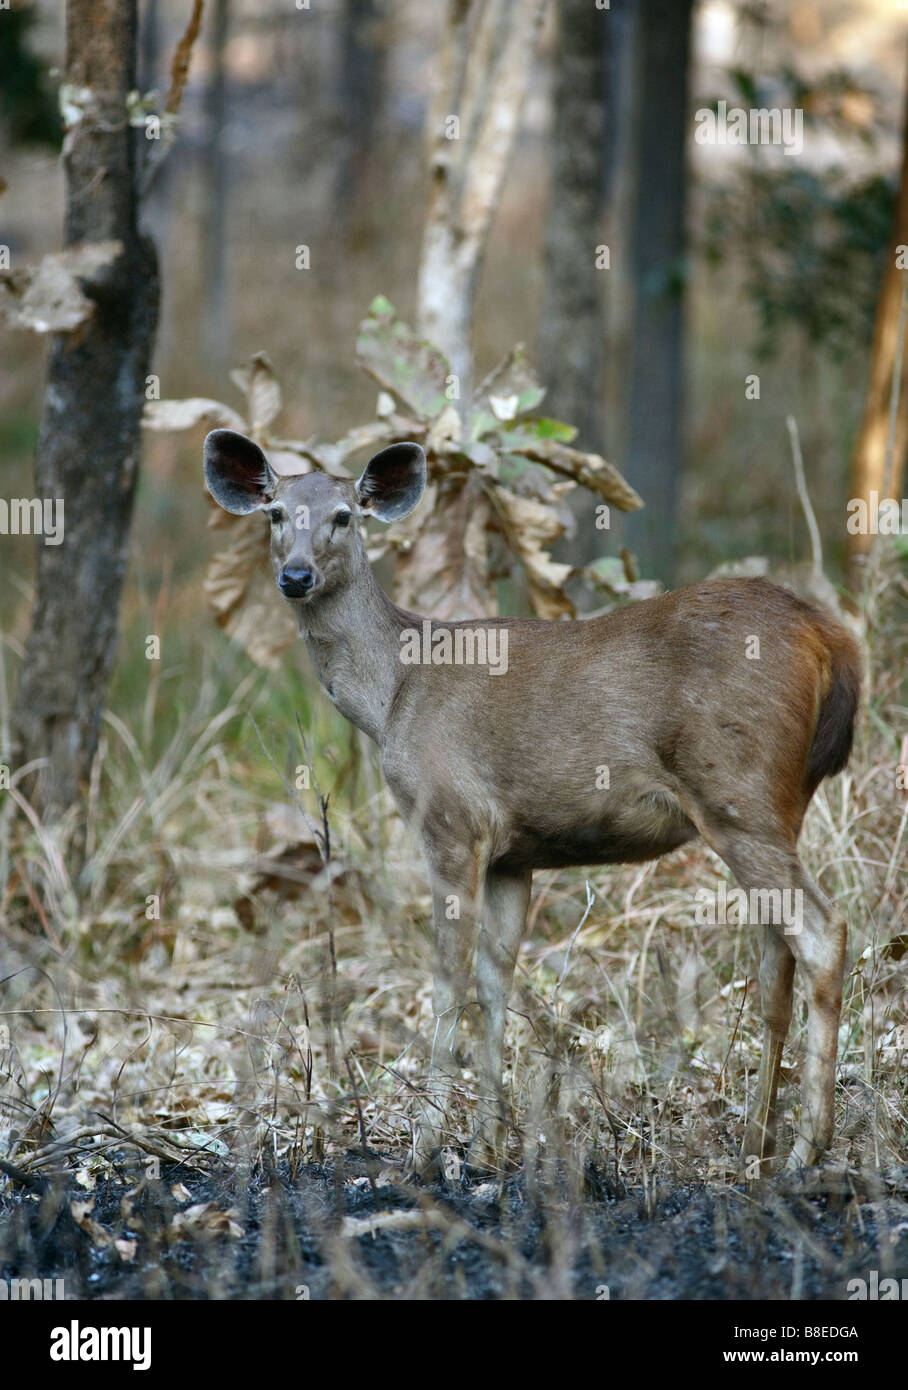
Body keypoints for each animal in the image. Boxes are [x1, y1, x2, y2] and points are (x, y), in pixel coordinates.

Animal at [201, 428, 862, 1178]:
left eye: (344, 515)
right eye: (276, 513)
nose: (296, 575)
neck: (393, 694)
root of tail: (830, 639)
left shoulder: (450, 819)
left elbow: (448, 976)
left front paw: (426, 1147)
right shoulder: (512, 855)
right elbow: (496, 979)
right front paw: (490, 1146)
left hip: (735, 789)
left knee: (822, 932)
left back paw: (808, 1148)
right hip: (780, 802)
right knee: (776, 951)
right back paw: (756, 1143)